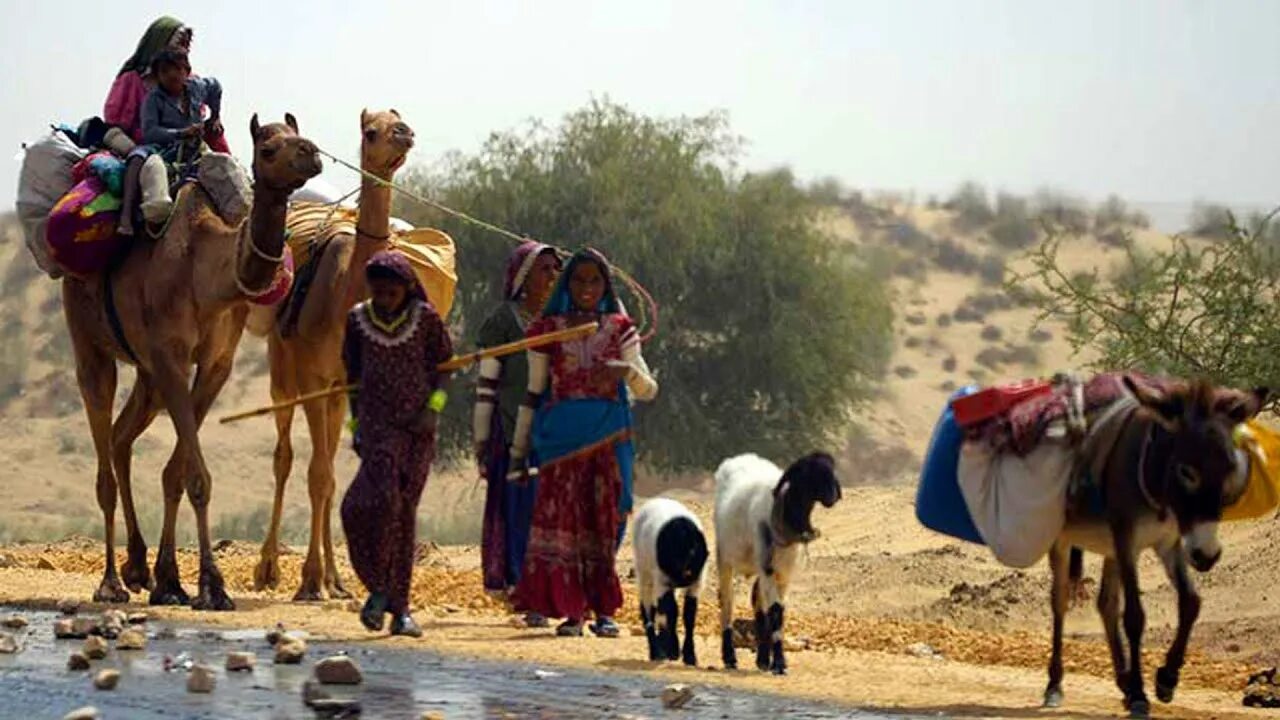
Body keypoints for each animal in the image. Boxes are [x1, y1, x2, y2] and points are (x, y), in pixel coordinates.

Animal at [64, 113, 325, 604]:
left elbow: (178, 473)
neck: (208, 273)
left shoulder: (214, 364)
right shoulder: (171, 357)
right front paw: (211, 585)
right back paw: (110, 583)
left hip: (146, 372)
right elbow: (196, 476)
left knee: (121, 437)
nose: (311, 153)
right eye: (267, 147)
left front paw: (170, 580)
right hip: (87, 338)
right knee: (103, 453)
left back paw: (137, 567)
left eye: (298, 134)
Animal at [247, 107, 412, 599]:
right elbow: (314, 472)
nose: (404, 133)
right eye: (371, 131)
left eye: (399, 119)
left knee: (325, 468)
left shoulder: (347, 385)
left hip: (334, 393)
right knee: (285, 457)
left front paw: (330, 579)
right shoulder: (313, 381)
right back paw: (269, 569)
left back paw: (335, 579)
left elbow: (330, 476)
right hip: (283, 375)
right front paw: (308, 580)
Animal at [629, 497, 711, 666]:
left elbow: (689, 616)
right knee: (648, 610)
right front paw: (673, 651)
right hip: (645, 572)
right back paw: (656, 652)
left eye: (694, 552)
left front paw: (690, 656)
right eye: (676, 555)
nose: (685, 573)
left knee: (661, 609)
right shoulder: (663, 582)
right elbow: (672, 612)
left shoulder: (696, 583)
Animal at [716, 448, 844, 671]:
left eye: (831, 468)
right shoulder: (767, 568)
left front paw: (771, 660)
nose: (833, 495)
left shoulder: (784, 572)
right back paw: (730, 657)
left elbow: (777, 611)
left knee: (758, 603)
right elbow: (774, 610)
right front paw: (779, 663)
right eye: (808, 470)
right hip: (724, 557)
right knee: (727, 602)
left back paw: (761, 659)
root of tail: (739, 458)